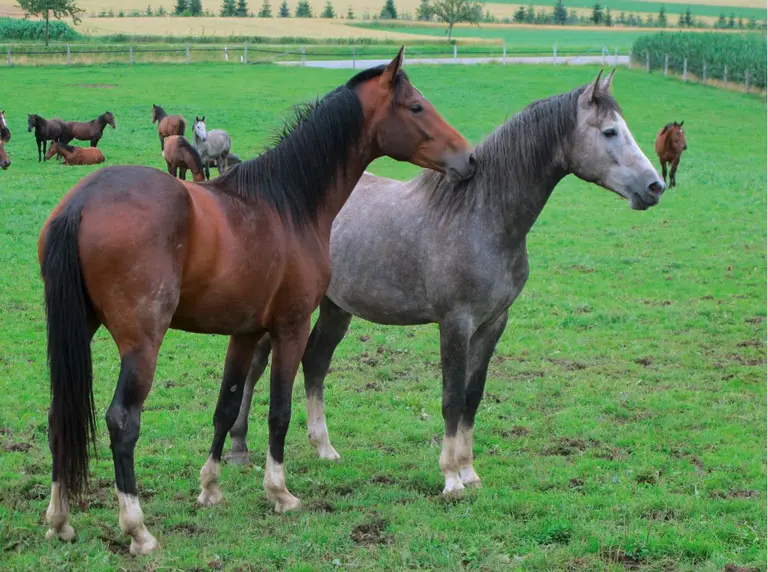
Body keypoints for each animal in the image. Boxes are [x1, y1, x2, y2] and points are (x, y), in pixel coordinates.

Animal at [38, 48, 475, 556]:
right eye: (416, 107)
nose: (469, 157)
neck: (288, 203)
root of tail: (82, 202)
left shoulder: (244, 332)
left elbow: (226, 406)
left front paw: (210, 488)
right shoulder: (291, 327)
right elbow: (279, 412)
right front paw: (279, 492)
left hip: (77, 330)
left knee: (58, 417)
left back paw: (60, 520)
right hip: (142, 344)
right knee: (122, 422)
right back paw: (137, 528)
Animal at [227, 69, 667, 499]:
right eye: (609, 131)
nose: (655, 186)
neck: (481, 218)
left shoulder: (493, 323)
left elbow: (472, 397)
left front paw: (470, 472)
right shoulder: (456, 323)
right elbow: (451, 399)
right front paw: (451, 478)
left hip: (338, 308)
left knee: (316, 362)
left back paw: (324, 447)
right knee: (257, 367)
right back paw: (239, 449)